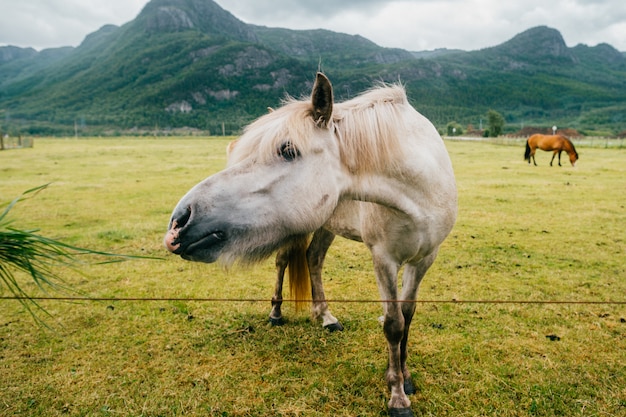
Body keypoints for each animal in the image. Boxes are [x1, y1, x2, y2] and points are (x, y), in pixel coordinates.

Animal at [163, 73, 456, 414]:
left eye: (288, 150)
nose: (180, 220)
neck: (418, 192)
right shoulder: (383, 259)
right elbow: (393, 324)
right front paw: (397, 395)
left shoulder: (424, 258)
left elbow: (407, 316)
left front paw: (406, 378)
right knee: (284, 263)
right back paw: (276, 313)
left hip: (324, 226)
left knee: (313, 259)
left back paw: (326, 317)